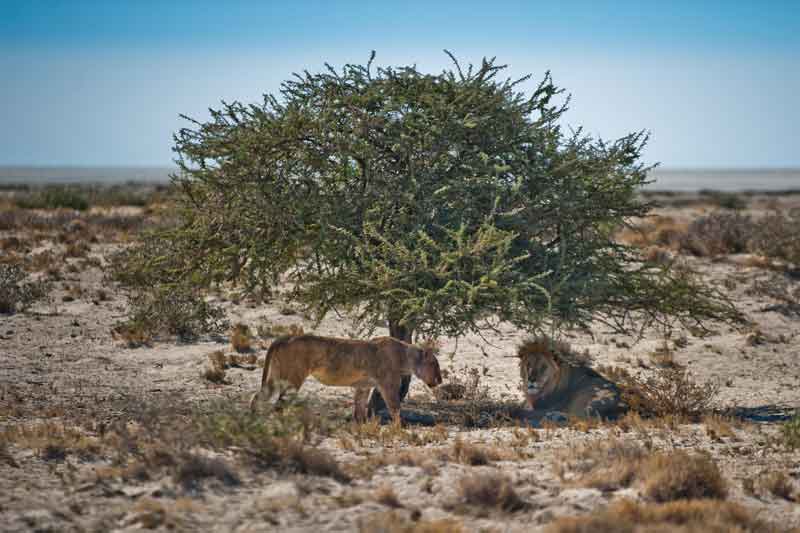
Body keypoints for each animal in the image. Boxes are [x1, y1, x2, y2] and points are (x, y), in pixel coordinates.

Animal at [247, 332, 440, 424]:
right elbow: (395, 408)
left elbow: (360, 409)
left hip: (275, 377)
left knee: (258, 396)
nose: (440, 380)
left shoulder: (363, 386)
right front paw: (401, 428)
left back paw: (253, 420)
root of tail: (285, 337)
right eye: (435, 364)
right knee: (280, 403)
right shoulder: (388, 386)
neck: (405, 357)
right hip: (293, 378)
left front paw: (361, 427)